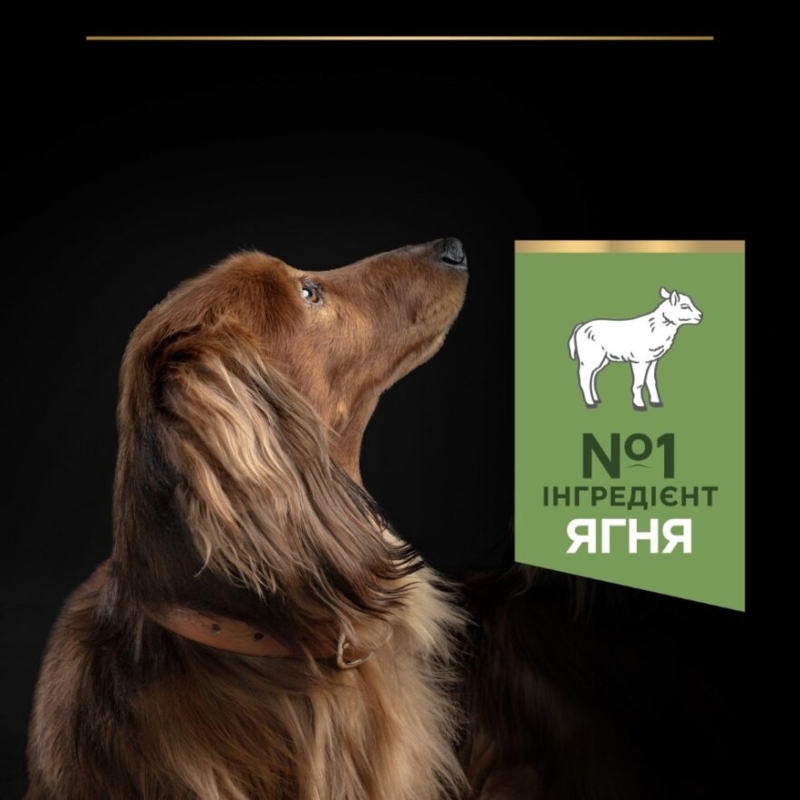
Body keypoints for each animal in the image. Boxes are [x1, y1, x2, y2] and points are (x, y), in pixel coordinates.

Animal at [568, 287, 703, 410]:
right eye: (684, 306)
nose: (701, 316)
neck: (656, 329)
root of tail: (580, 327)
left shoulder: (652, 360)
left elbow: (651, 381)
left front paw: (656, 402)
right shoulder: (639, 360)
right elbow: (639, 383)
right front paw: (639, 405)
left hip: (602, 359)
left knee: (592, 376)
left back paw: (596, 399)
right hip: (590, 357)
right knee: (584, 377)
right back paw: (590, 404)